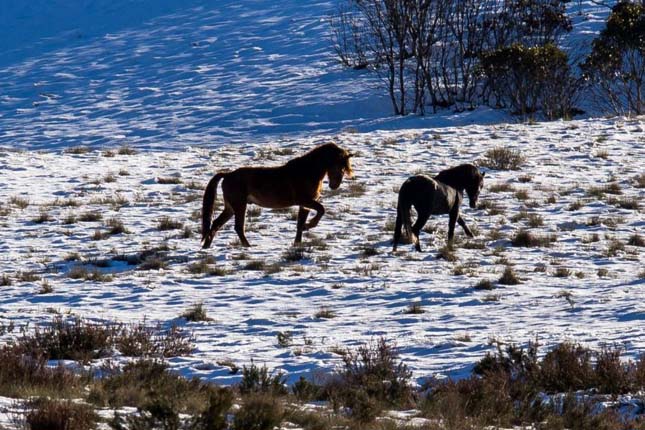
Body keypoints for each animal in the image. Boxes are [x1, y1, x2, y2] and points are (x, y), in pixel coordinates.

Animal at [200, 142, 352, 249]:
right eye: (340, 166)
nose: (335, 185)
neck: (306, 171)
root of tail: (227, 175)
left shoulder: (304, 205)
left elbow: (299, 224)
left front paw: (298, 243)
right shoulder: (305, 200)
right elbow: (321, 210)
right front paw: (308, 226)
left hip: (231, 207)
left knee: (216, 224)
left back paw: (206, 248)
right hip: (239, 205)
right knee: (238, 227)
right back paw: (248, 247)